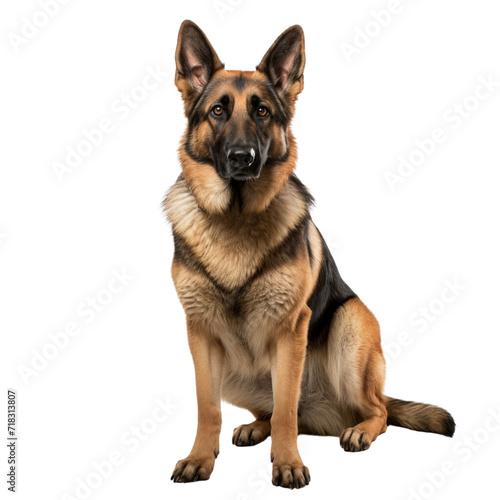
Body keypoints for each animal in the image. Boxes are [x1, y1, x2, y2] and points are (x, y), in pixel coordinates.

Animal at [166, 20, 456, 488]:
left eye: (262, 112)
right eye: (218, 111)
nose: (243, 158)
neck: (236, 218)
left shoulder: (291, 330)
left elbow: (286, 409)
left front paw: (287, 463)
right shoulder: (200, 333)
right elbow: (207, 408)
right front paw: (199, 458)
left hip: (350, 327)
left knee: (375, 411)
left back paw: (359, 430)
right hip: (233, 372)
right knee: (275, 411)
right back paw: (255, 427)